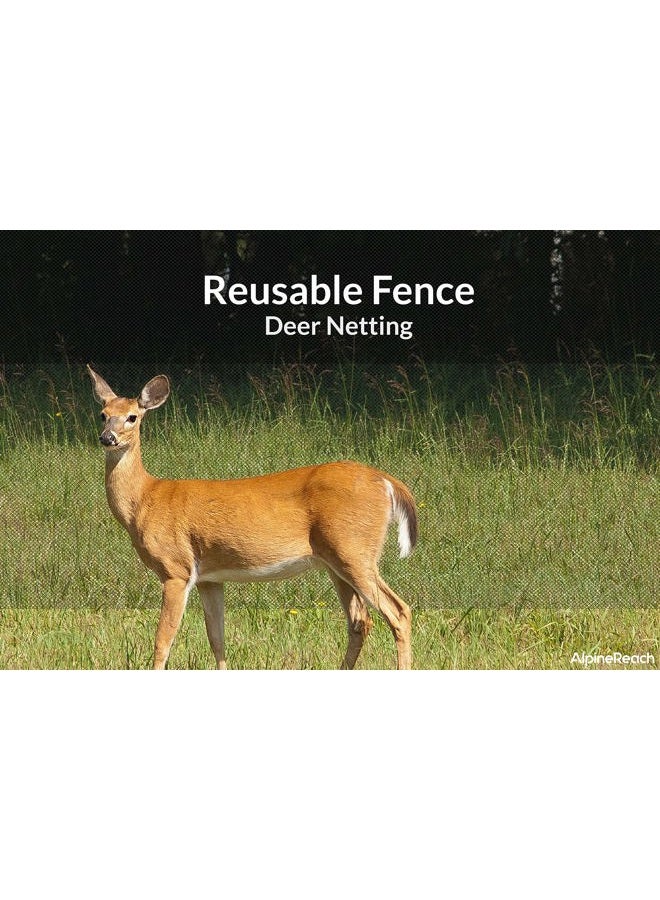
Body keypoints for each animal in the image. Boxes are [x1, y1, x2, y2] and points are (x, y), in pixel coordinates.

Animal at [87, 366, 417, 670]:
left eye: (132, 417)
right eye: (103, 414)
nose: (107, 437)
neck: (145, 499)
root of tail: (386, 481)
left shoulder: (176, 568)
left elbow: (163, 641)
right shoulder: (209, 578)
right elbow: (216, 639)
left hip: (354, 549)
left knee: (398, 612)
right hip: (336, 560)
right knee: (360, 621)